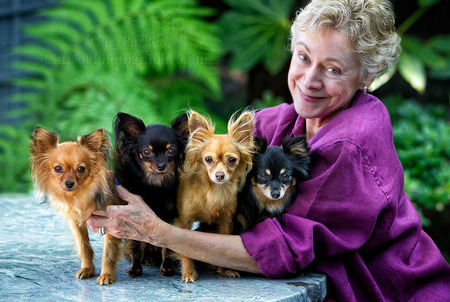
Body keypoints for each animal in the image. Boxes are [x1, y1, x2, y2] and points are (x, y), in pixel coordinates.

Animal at [30, 125, 125, 286]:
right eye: (58, 169)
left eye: (81, 169)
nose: (69, 183)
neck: (79, 195)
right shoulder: (76, 222)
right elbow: (84, 246)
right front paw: (87, 269)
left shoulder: (112, 224)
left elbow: (108, 252)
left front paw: (106, 275)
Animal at [114, 112, 190, 278]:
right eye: (147, 152)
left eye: (171, 150)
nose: (161, 165)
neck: (155, 184)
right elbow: (136, 247)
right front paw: (135, 269)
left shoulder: (169, 218)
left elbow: (167, 247)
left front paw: (167, 267)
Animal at [175, 111, 255, 284]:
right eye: (208, 159)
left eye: (232, 160)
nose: (219, 175)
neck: (214, 191)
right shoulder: (185, 221)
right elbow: (185, 250)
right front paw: (188, 273)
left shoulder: (226, 221)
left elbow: (224, 244)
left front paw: (225, 270)